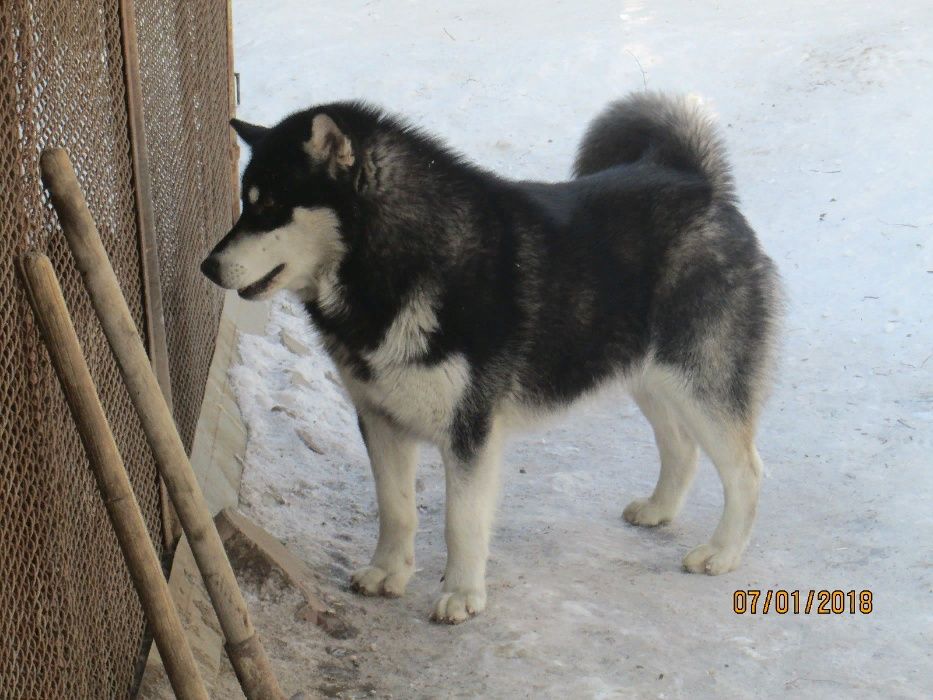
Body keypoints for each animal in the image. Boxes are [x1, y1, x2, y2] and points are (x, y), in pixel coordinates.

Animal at [202, 93, 780, 624]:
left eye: (270, 207)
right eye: (246, 202)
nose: (208, 266)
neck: (398, 265)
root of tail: (697, 182)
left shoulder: (469, 429)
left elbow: (461, 521)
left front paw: (462, 594)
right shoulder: (379, 418)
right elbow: (395, 508)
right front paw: (389, 572)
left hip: (700, 383)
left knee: (747, 471)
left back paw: (722, 552)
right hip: (647, 375)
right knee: (681, 446)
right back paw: (659, 510)